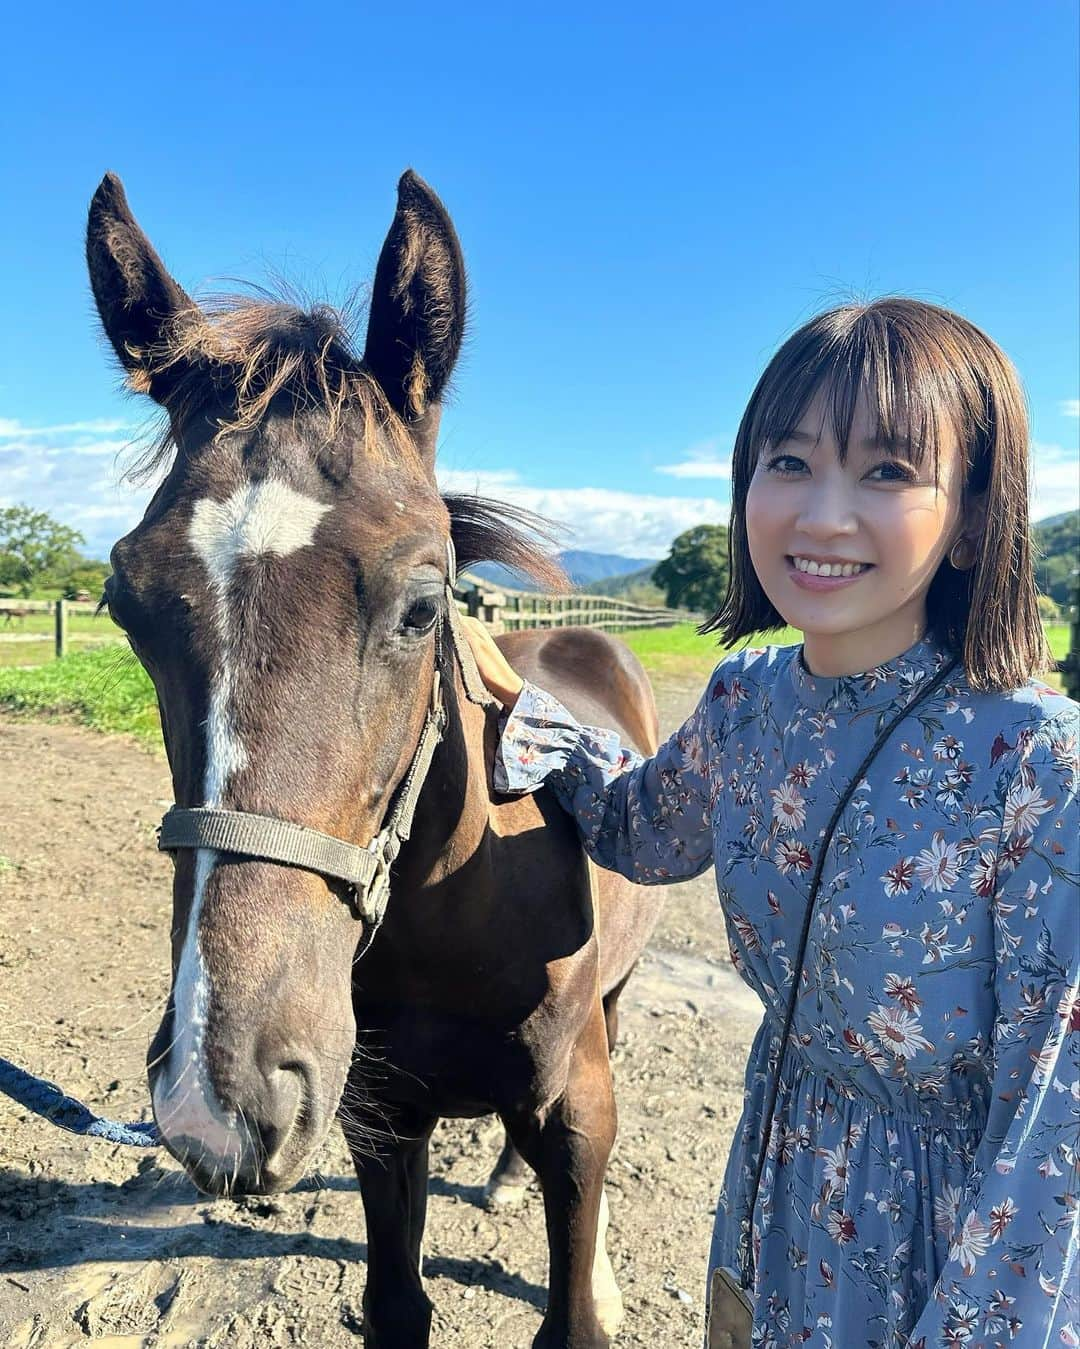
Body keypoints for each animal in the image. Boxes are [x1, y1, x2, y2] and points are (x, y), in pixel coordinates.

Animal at [90, 171, 666, 1349]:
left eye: (421, 604)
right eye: (126, 603)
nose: (220, 1096)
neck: (458, 899)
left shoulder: (576, 1107)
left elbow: (572, 1299)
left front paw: (594, 1284)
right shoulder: (377, 1118)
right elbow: (397, 1303)